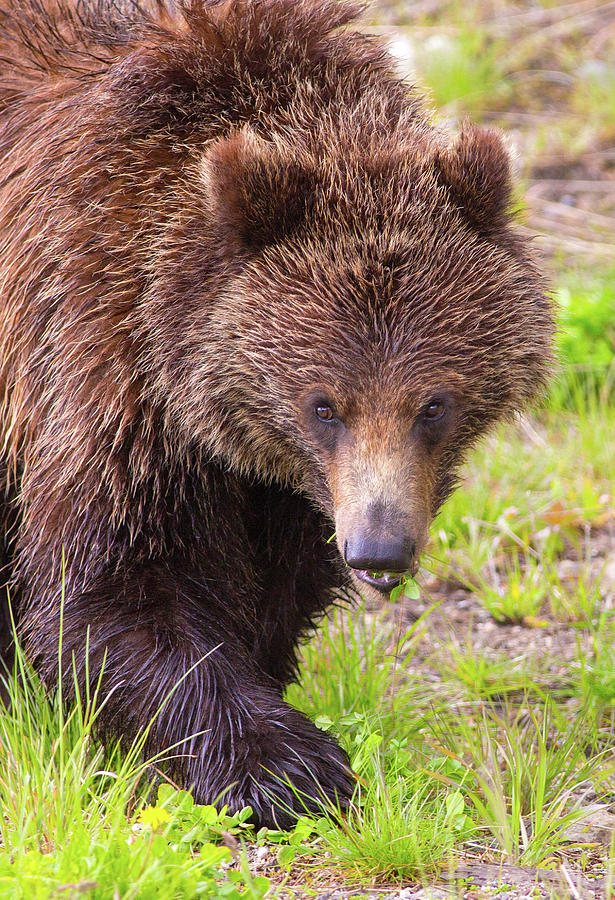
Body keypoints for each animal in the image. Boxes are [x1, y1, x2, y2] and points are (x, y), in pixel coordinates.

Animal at [0, 0, 556, 828]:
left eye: (433, 404)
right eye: (324, 404)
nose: (380, 550)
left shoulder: (285, 484)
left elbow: (278, 581)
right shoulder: (98, 355)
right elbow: (112, 582)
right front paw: (285, 765)